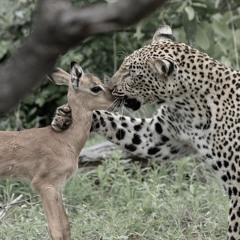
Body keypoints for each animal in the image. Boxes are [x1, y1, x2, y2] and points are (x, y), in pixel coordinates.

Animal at [52, 25, 240, 239]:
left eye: (130, 75)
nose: (110, 88)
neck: (187, 107)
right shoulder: (158, 136)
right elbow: (118, 124)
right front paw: (66, 115)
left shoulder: (237, 186)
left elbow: (234, 227)